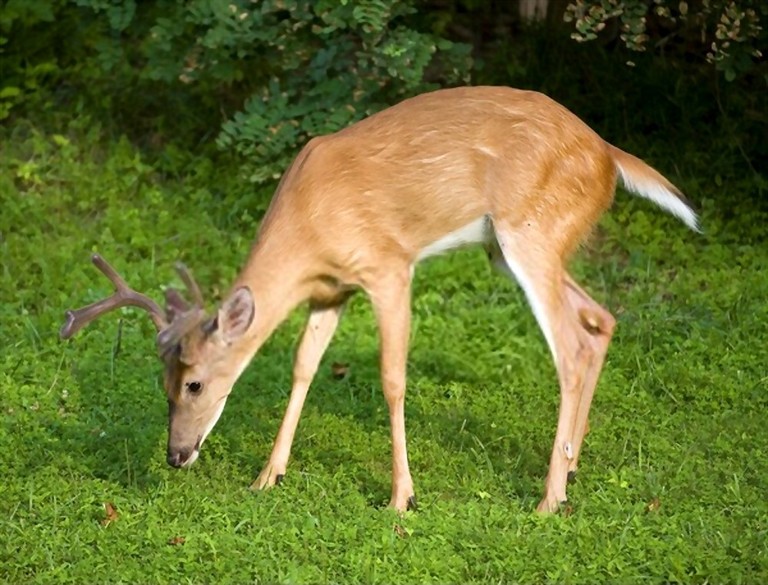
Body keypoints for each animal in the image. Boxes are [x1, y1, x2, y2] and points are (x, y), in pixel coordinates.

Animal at [61, 86, 699, 513]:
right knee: (600, 317)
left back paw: (548, 499)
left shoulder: (389, 267)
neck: (308, 227)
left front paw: (401, 498)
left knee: (570, 344)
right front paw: (268, 476)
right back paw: (573, 464)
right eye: (163, 384)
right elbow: (303, 365)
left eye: (194, 383)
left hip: (531, 231)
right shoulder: (331, 289)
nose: (176, 455)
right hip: (513, 244)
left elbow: (393, 377)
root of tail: (608, 155)